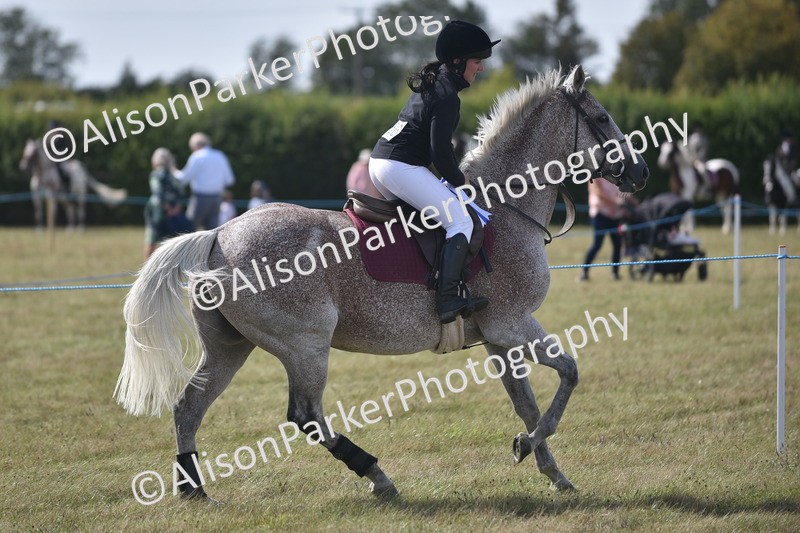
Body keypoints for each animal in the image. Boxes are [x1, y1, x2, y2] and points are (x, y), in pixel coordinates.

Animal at [114, 65, 649, 502]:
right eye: (601, 118)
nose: (641, 171)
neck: (505, 207)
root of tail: (218, 236)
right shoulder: (512, 324)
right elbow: (568, 375)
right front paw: (530, 449)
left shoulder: (499, 337)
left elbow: (528, 404)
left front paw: (550, 470)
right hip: (305, 343)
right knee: (305, 415)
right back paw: (378, 475)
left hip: (230, 346)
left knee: (190, 406)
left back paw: (193, 490)